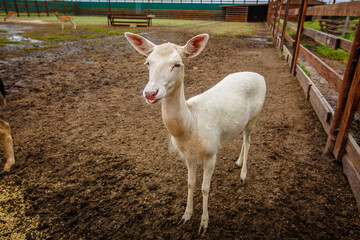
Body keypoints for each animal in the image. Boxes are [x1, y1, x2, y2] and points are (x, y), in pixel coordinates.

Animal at [125, 31, 266, 234]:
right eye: (148, 62)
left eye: (177, 64)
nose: (150, 93)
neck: (192, 125)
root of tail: (260, 76)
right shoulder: (188, 156)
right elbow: (190, 183)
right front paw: (185, 216)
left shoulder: (211, 152)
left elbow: (205, 188)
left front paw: (204, 224)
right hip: (243, 121)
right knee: (242, 140)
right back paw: (238, 162)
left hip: (255, 116)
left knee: (248, 142)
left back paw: (243, 175)